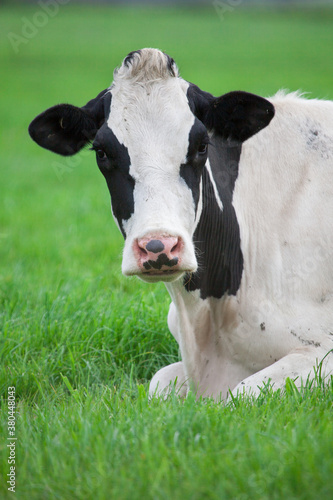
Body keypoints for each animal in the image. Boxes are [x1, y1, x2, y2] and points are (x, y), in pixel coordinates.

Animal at [29, 48, 332, 400]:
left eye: (202, 145)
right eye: (101, 152)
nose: (157, 247)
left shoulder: (319, 348)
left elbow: (242, 394)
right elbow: (158, 382)